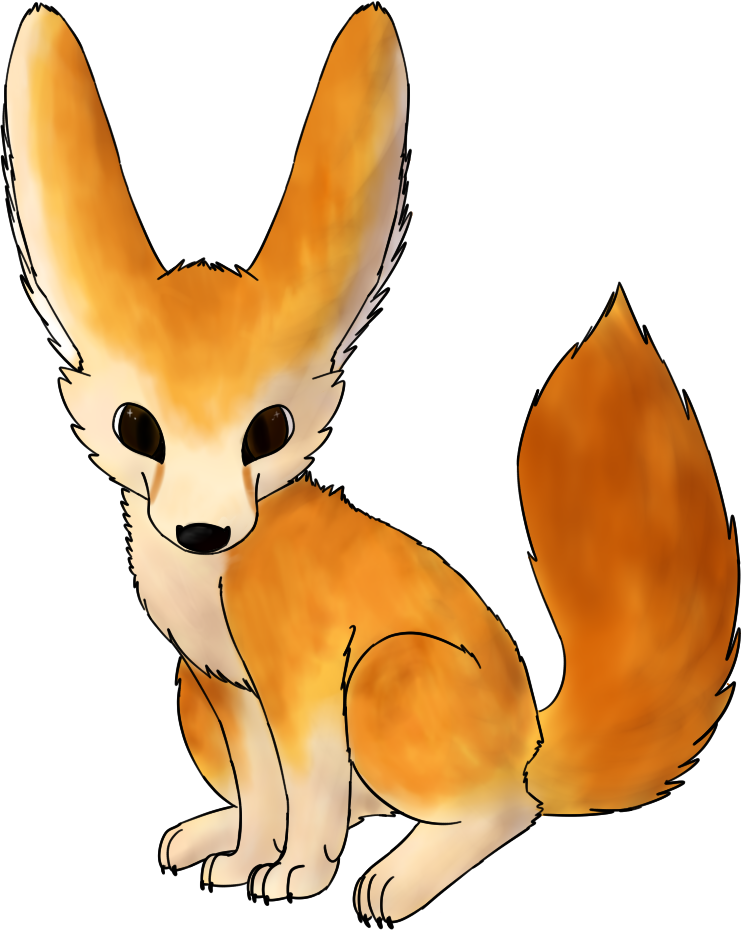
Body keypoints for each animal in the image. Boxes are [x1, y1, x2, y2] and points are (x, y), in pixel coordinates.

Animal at [4, 4, 737, 922]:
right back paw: (218, 834)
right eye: (137, 427)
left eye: (269, 430)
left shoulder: (308, 685)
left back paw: (400, 876)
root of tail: (535, 739)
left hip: (387, 679)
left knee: (501, 812)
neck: (214, 583)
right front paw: (248, 856)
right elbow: (266, 798)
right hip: (200, 705)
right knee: (360, 806)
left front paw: (297, 874)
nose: (204, 532)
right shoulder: (227, 689)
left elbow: (307, 798)